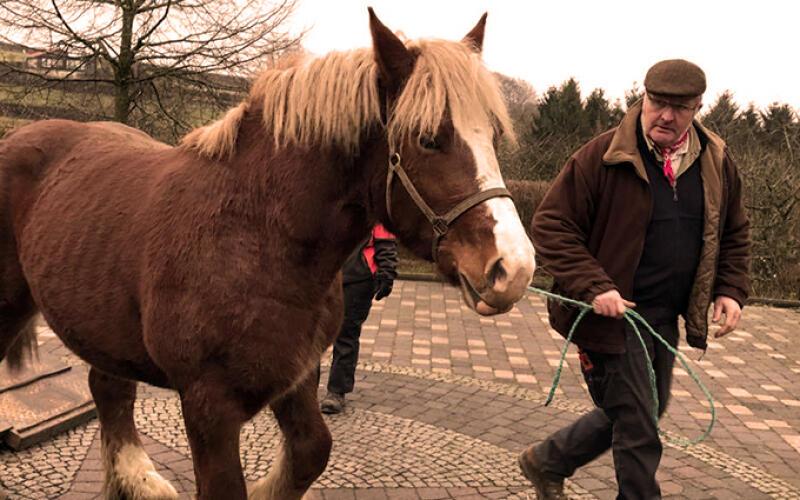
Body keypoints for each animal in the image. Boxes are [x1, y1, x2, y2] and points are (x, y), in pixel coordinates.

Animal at [0, 9, 535, 500]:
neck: (257, 235)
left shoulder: (297, 374)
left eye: (493, 135)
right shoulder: (208, 404)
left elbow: (312, 451)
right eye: (428, 138)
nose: (513, 268)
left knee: (108, 388)